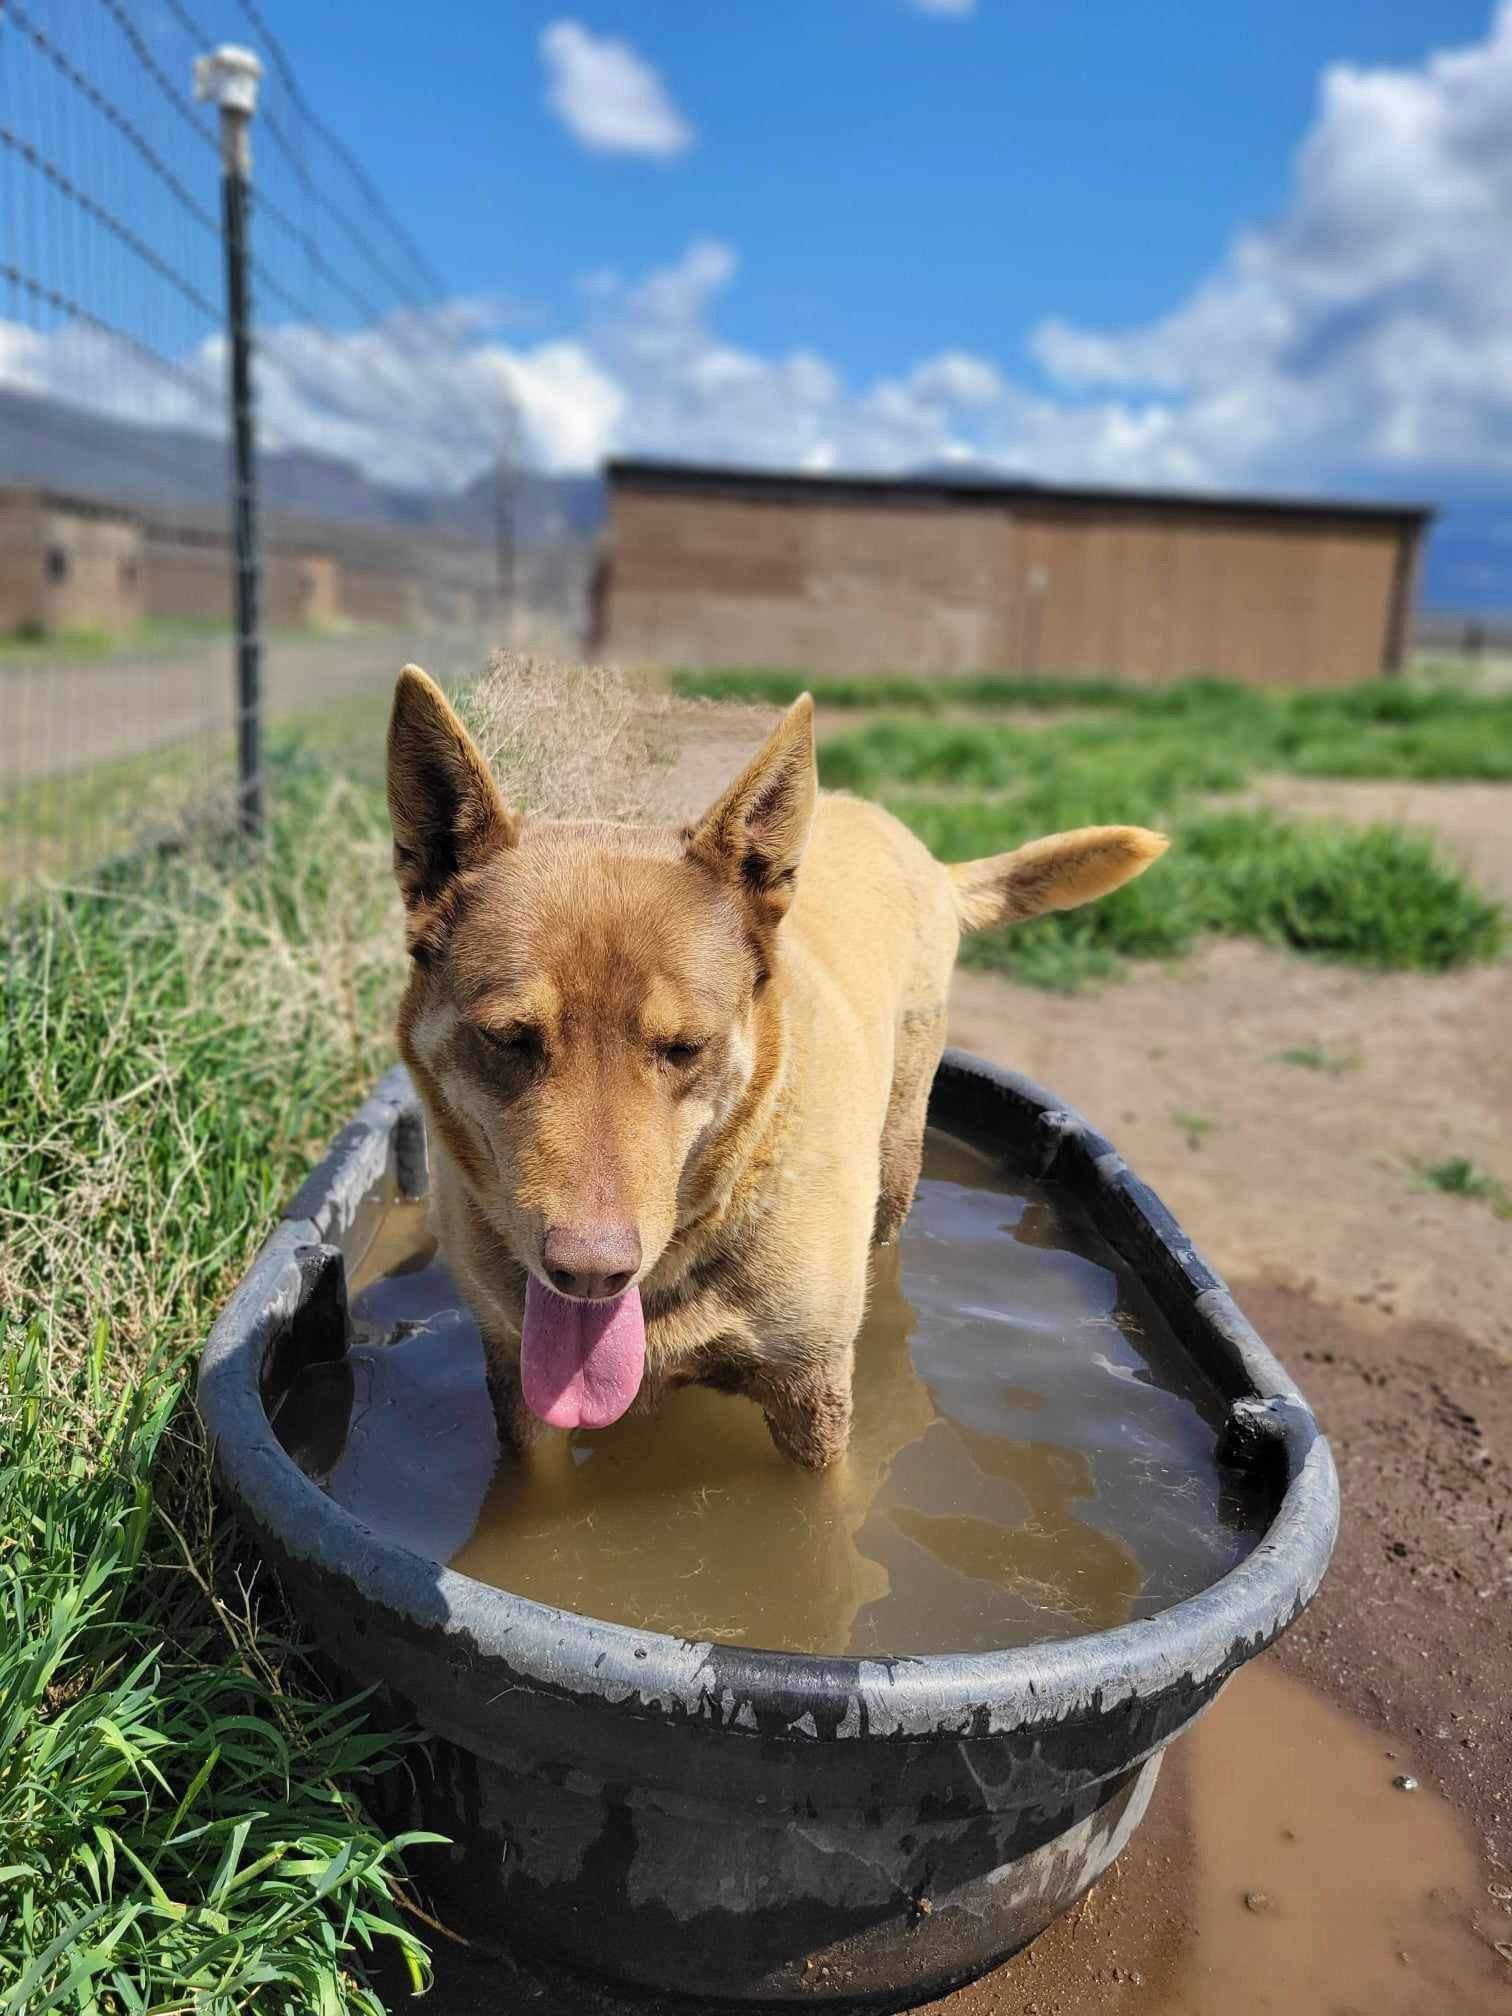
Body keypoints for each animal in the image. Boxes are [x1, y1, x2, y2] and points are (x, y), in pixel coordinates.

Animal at [385, 669, 1169, 1475]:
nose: (591, 1274)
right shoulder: (517, 1382)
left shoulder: (811, 1396)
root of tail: (916, 847)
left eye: (685, 1047)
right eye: (506, 1039)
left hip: (899, 1151)